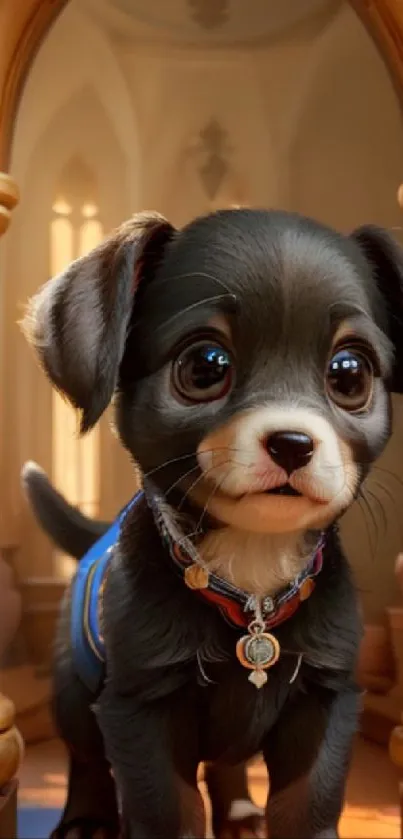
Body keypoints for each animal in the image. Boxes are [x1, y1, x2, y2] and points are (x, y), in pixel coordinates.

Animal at [21, 212, 403, 839]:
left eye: (350, 372)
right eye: (205, 365)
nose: (292, 443)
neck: (250, 580)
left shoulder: (325, 702)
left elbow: (307, 804)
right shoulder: (139, 708)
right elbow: (167, 811)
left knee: (226, 763)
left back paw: (241, 812)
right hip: (73, 694)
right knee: (86, 758)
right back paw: (86, 819)